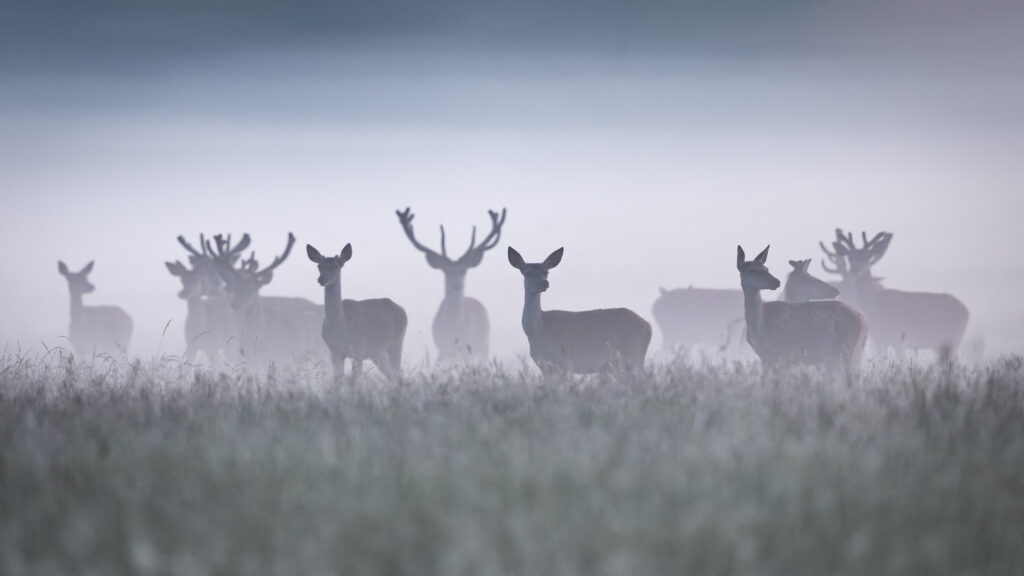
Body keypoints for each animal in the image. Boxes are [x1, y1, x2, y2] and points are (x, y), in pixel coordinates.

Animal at [307, 241, 407, 381]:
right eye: (319, 266)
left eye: (336, 266)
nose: (322, 279)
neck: (341, 326)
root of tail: (403, 311)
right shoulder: (335, 350)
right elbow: (338, 378)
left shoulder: (359, 347)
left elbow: (357, 378)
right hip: (377, 352)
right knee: (392, 375)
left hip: (396, 342)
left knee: (397, 373)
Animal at [395, 204, 507, 358]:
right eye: (446, 270)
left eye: (464, 270)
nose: (457, 286)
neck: (455, 328)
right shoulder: (443, 347)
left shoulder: (467, 347)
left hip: (485, 344)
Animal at [507, 245, 651, 373]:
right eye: (526, 272)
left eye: (546, 272)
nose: (544, 283)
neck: (537, 331)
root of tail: (649, 327)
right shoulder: (545, 367)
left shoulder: (562, 363)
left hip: (633, 355)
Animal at [823, 228, 966, 354]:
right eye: (849, 256)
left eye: (867, 256)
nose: (855, 269)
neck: (874, 303)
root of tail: (966, 311)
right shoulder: (880, 338)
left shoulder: (898, 337)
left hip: (953, 338)